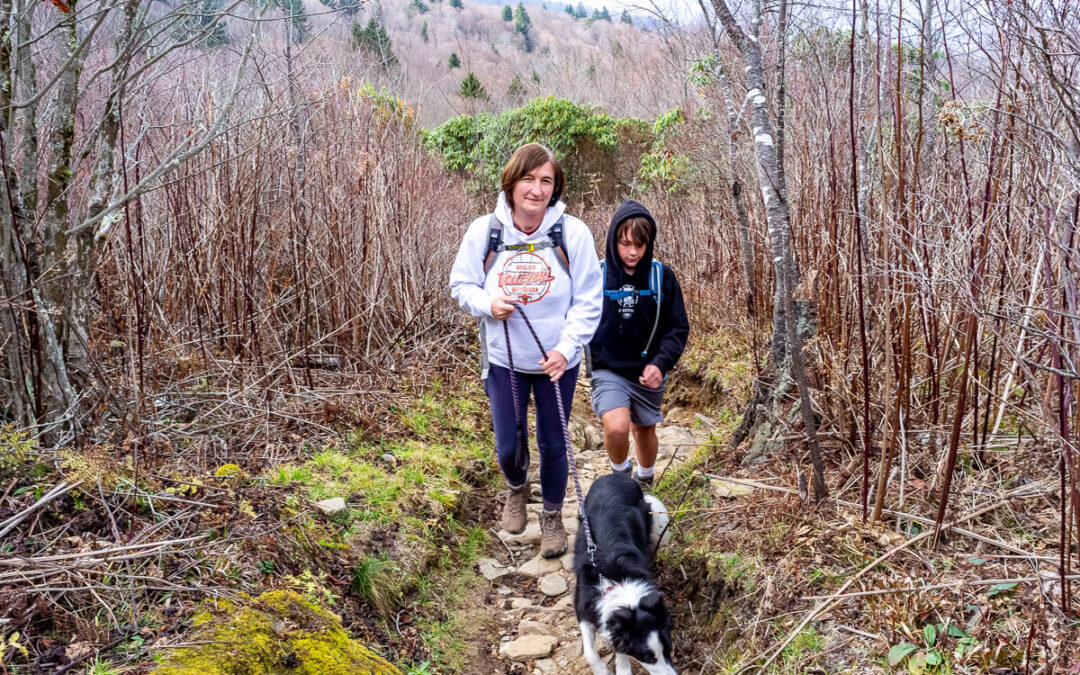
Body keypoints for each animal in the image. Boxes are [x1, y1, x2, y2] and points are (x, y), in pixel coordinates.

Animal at [574, 470, 673, 673]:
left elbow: (619, 648)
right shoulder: (583, 607)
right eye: (648, 657)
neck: (614, 582)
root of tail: (615, 476)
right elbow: (589, 652)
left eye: (668, 649)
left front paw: (622, 669)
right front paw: (602, 671)